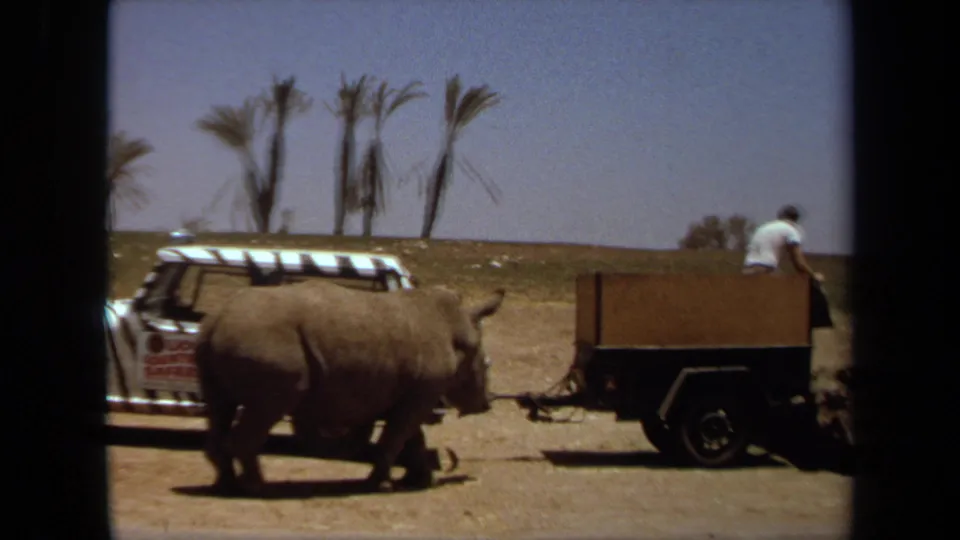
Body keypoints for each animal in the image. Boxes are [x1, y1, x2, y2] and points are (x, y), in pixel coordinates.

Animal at [194, 280, 506, 495]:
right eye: (486, 365)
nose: (486, 403)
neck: (460, 333)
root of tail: (216, 320)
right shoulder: (422, 392)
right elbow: (397, 436)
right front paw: (381, 485)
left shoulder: (412, 393)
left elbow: (411, 436)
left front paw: (419, 481)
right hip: (264, 343)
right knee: (267, 408)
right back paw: (257, 488)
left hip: (218, 342)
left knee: (219, 407)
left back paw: (226, 486)